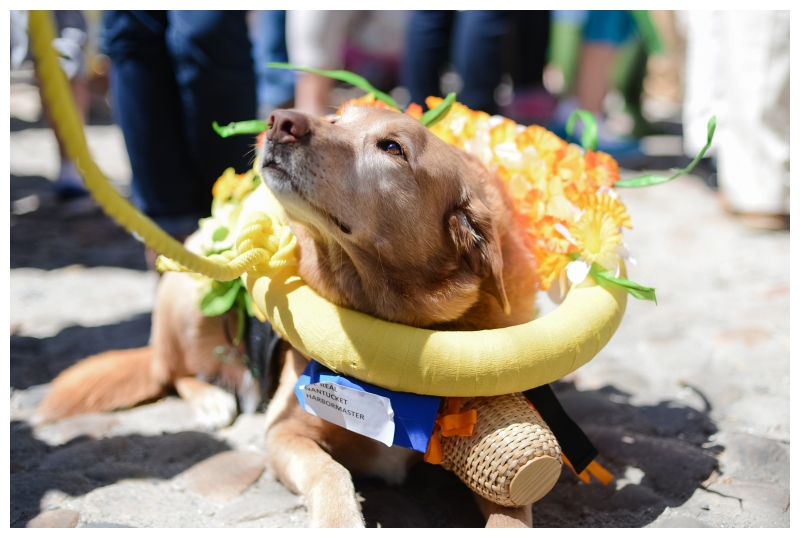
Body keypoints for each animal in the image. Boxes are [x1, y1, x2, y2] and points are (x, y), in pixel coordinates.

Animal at [36, 107, 536, 524]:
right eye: (337, 117)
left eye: (393, 147)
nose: (280, 120)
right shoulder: (284, 433)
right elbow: (332, 473)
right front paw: (340, 521)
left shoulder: (506, 477)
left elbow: (514, 513)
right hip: (188, 290)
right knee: (170, 368)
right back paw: (211, 399)